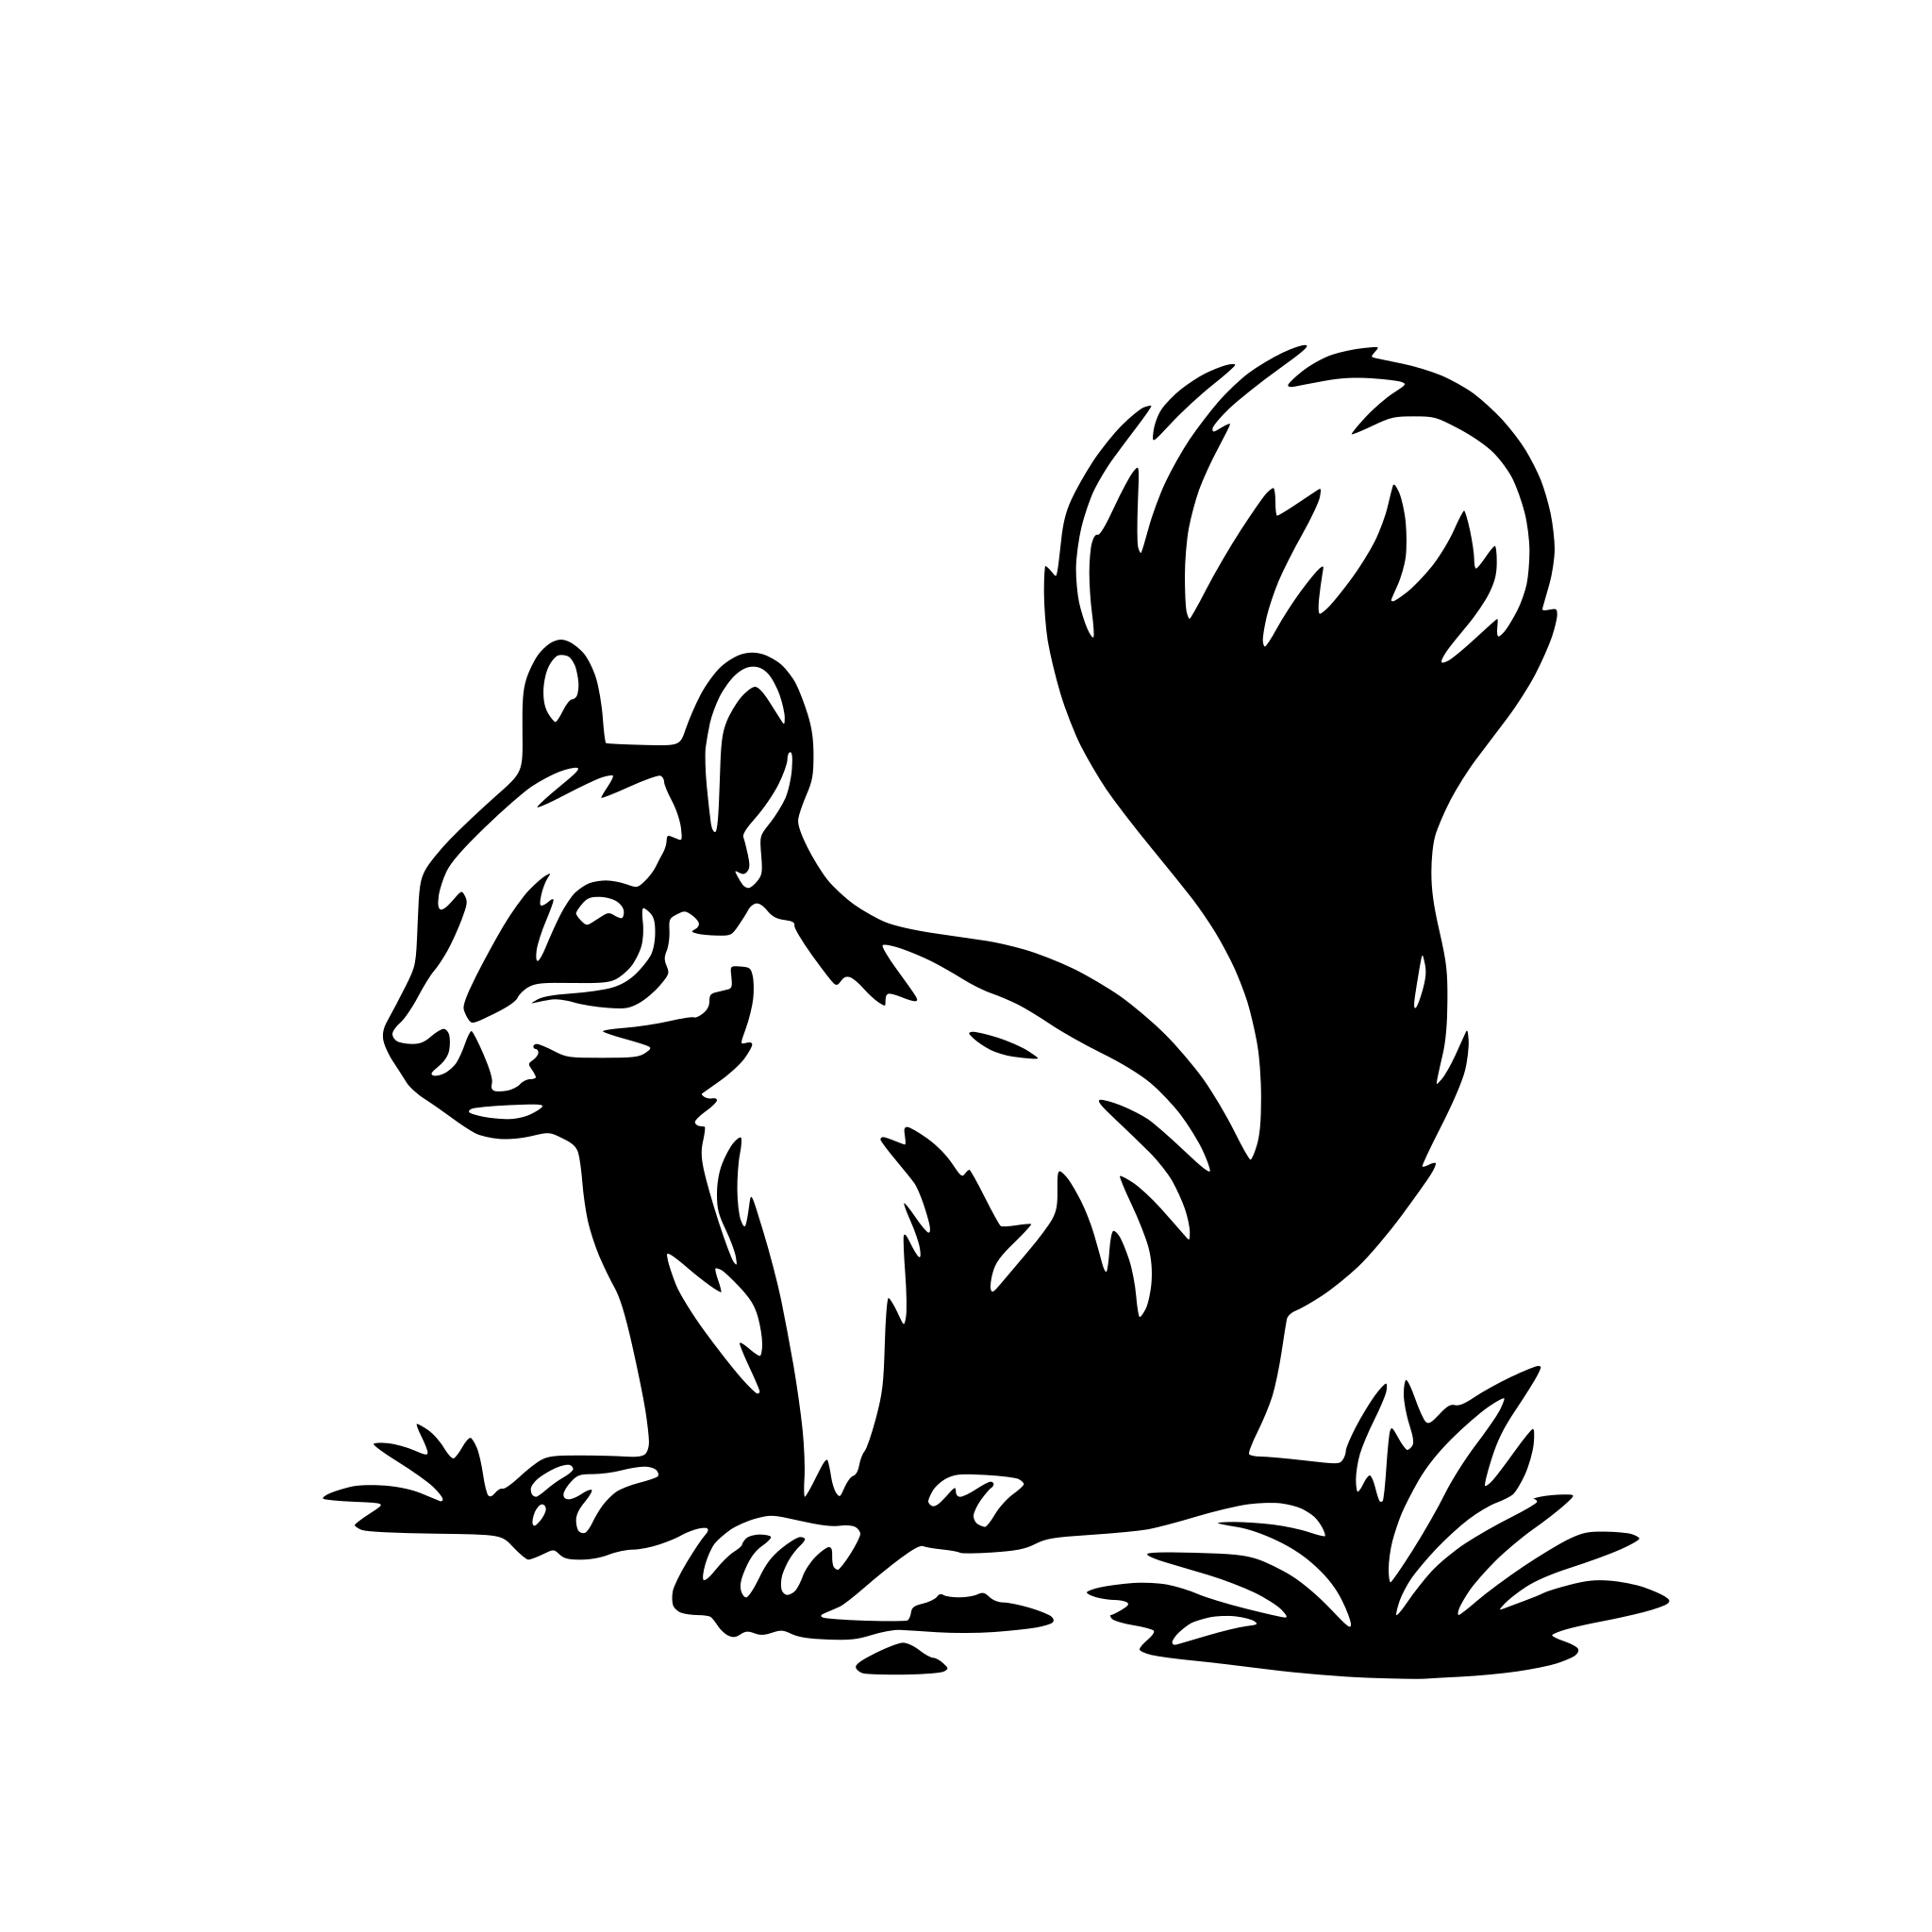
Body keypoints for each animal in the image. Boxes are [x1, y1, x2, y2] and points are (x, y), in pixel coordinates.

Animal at [376, 347, 1554, 1634]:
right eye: (435, 894)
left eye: (601, 933)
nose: (417, 1044)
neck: (658, 1123)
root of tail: (1257, 1268)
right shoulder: (654, 1265)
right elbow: (684, 1405)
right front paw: (639, 1483)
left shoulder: (847, 1211)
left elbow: (844, 1400)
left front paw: (798, 1531)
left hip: (1110, 1345)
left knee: (1143, 1468)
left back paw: (998, 1484)